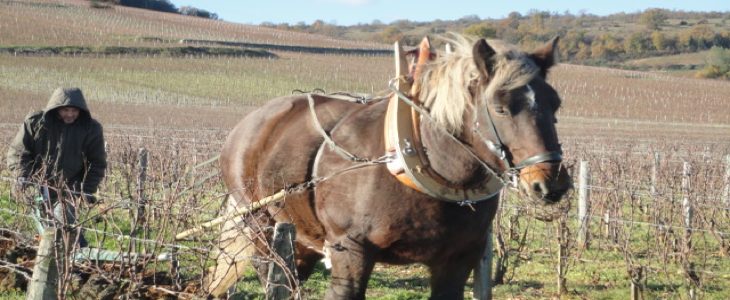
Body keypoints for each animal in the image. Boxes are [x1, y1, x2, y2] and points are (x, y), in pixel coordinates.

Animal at [203, 34, 568, 298]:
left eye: (555, 104)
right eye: (501, 108)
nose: (551, 183)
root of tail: (251, 122)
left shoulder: (457, 259)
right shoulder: (349, 250)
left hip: (301, 233)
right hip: (261, 223)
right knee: (271, 272)